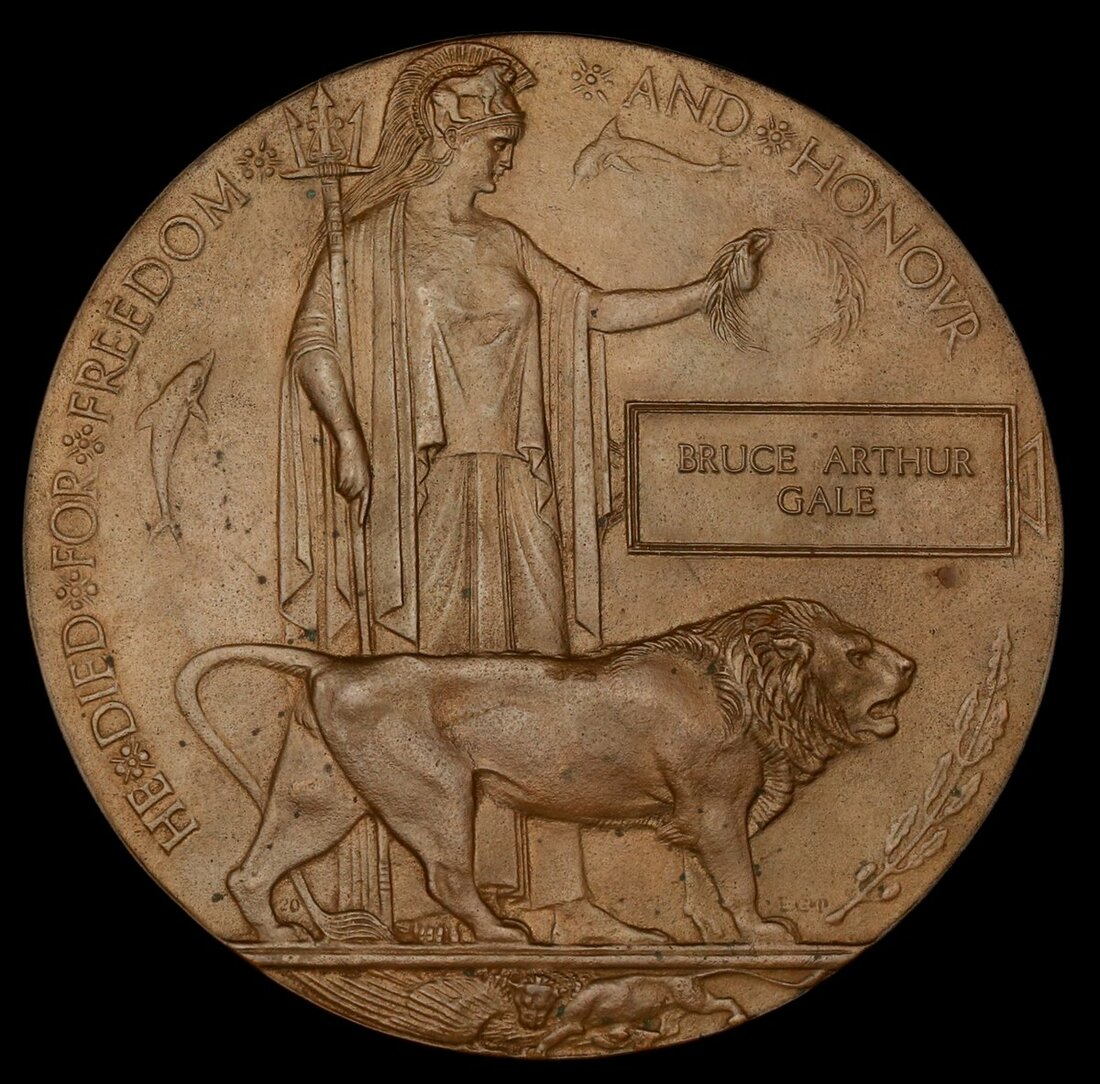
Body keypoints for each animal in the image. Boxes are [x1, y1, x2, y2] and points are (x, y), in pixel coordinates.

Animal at [176, 598, 914, 946]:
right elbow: (737, 877)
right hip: (437, 795)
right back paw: (502, 935)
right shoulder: (713, 806)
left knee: (250, 871)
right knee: (447, 876)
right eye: (857, 651)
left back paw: (277, 934)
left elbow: (706, 880)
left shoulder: (700, 818)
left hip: (320, 799)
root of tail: (334, 663)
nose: (910, 666)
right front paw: (759, 932)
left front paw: (707, 932)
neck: (753, 688)